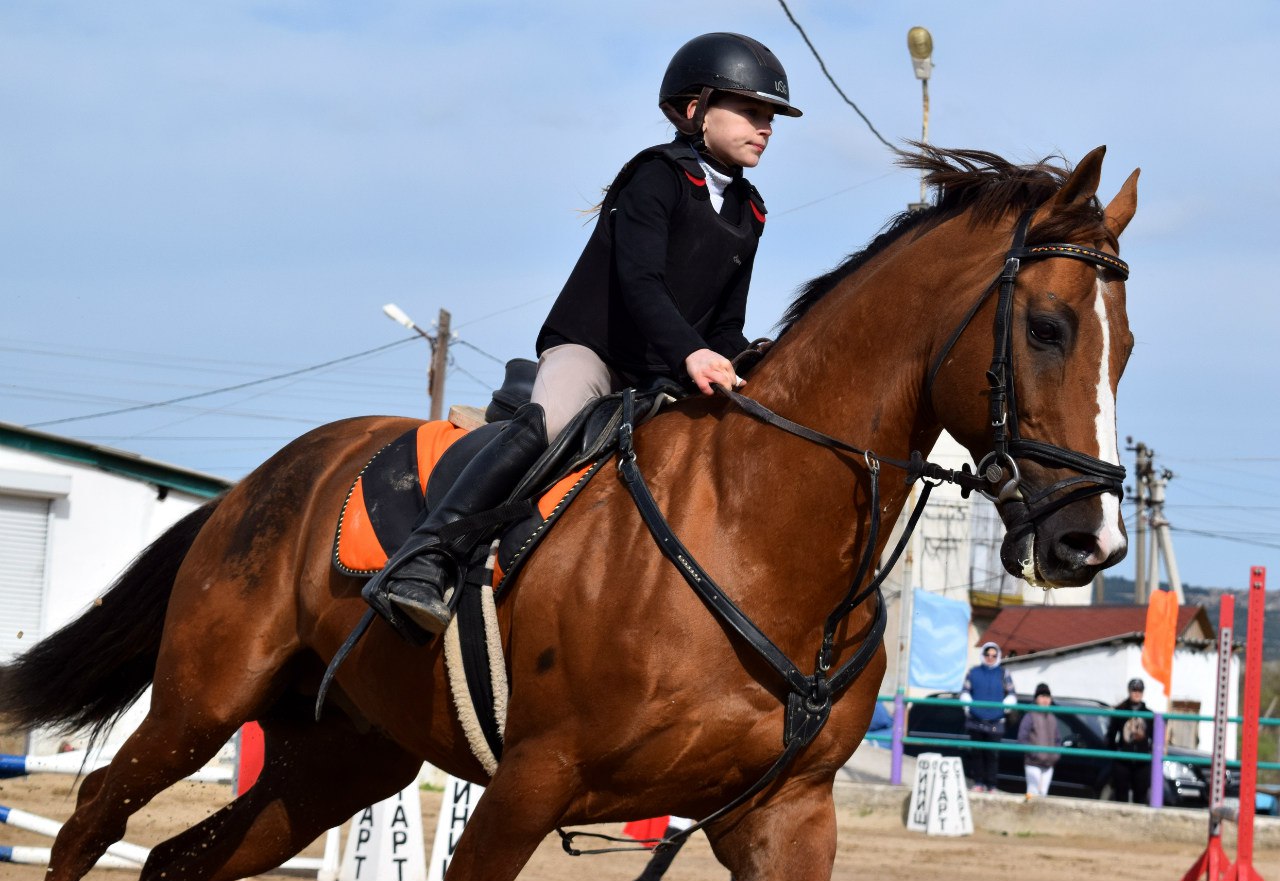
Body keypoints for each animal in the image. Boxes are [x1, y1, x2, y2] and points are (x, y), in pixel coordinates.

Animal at [0, 145, 1141, 881]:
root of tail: (255, 483)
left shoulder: (784, 814)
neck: (759, 528)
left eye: (1122, 347)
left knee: (179, 859)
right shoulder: (527, 786)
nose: (1088, 542)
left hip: (340, 754)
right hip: (202, 703)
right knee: (90, 821)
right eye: (1045, 328)